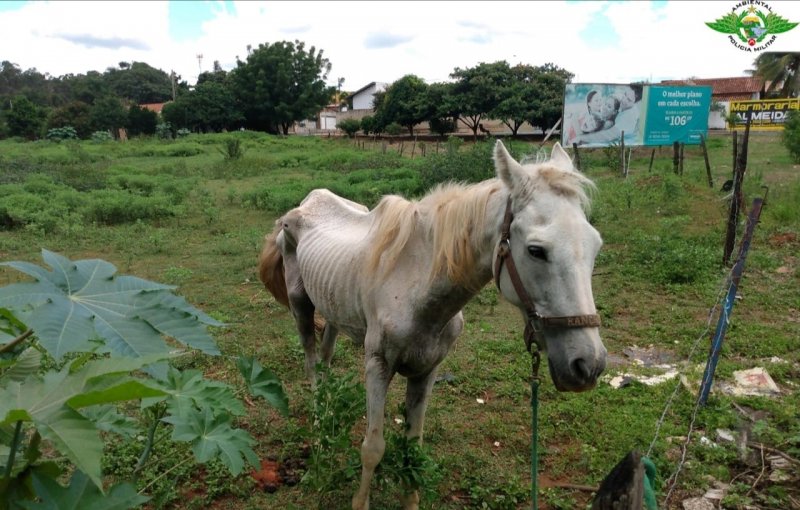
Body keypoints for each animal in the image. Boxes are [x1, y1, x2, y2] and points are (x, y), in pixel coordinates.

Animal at [260, 140, 604, 510]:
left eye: (595, 245)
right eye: (536, 250)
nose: (588, 365)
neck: (416, 283)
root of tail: (304, 204)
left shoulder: (427, 371)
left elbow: (413, 448)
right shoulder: (377, 366)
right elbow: (372, 449)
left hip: (332, 307)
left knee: (325, 359)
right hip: (301, 305)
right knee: (311, 365)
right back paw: (320, 428)